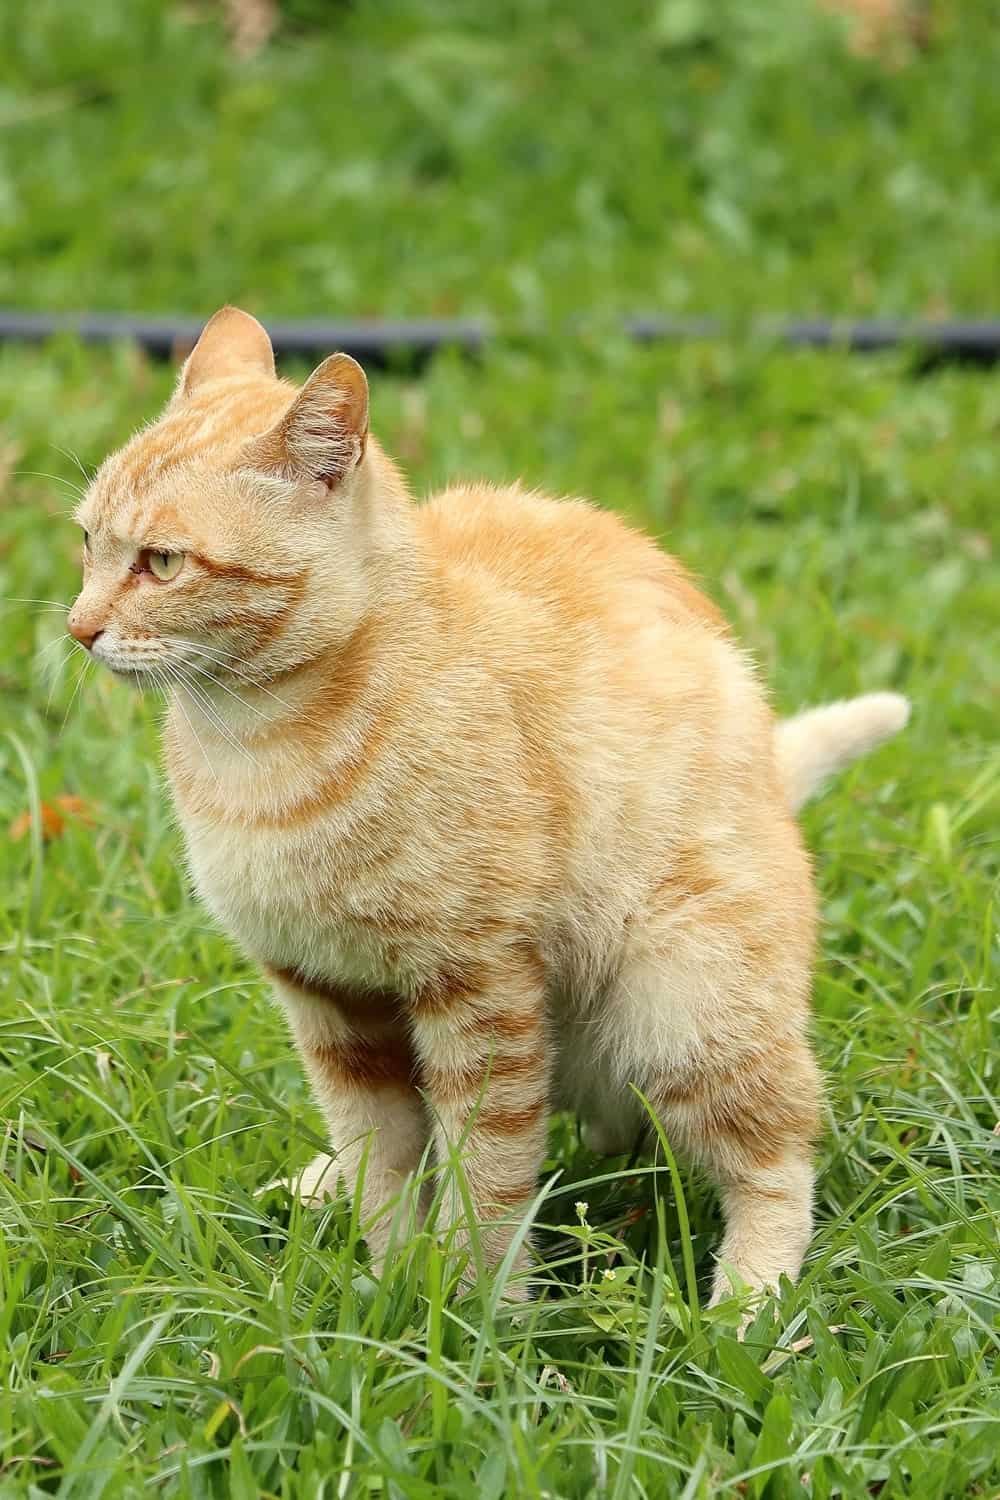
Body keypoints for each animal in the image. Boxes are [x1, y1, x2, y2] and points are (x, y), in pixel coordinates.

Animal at [66, 310, 911, 1308]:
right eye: (87, 544)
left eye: (161, 563)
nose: (77, 629)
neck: (256, 748)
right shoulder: (328, 999)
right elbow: (382, 1158)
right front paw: (390, 1283)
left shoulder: (480, 990)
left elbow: (490, 1170)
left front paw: (476, 1311)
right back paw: (318, 1187)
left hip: (687, 1011)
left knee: (778, 1160)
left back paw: (748, 1307)